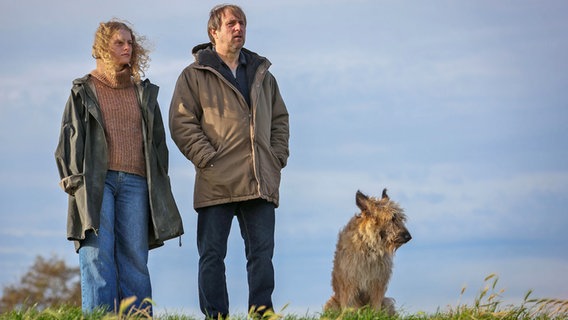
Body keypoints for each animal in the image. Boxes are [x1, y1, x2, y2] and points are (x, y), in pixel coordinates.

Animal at [324, 188, 412, 316]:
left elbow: (376, 303)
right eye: (392, 218)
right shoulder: (350, 282)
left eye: (401, 218)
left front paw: (375, 315)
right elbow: (350, 304)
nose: (408, 237)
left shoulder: (378, 282)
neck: (369, 245)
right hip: (331, 303)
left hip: (387, 302)